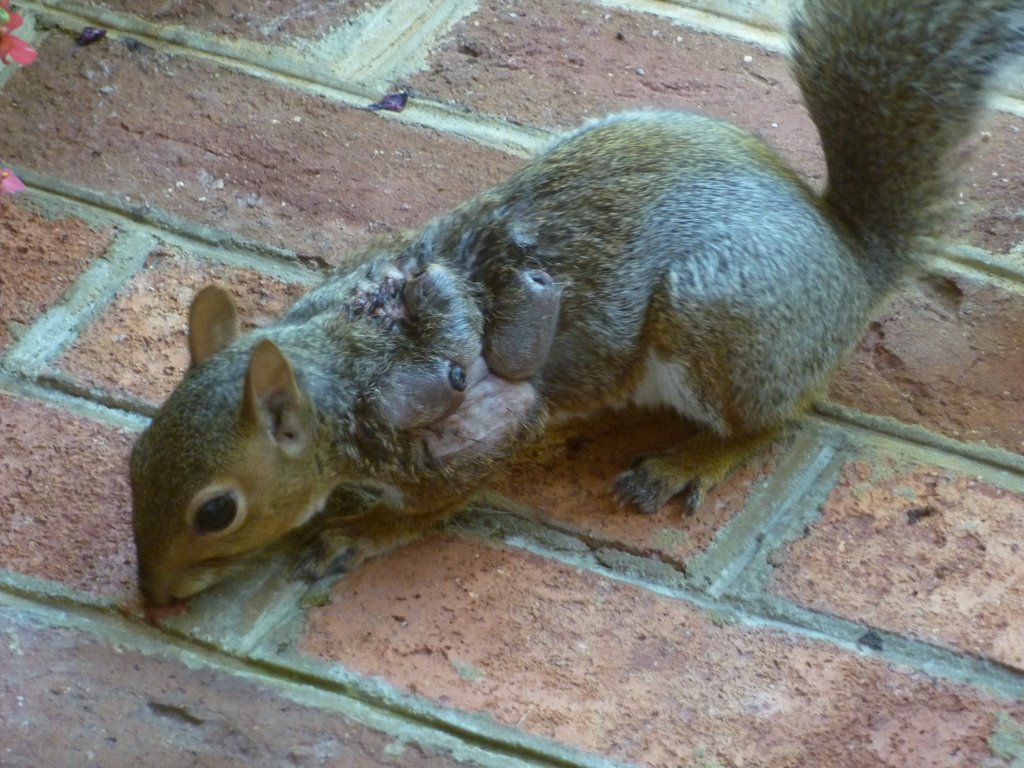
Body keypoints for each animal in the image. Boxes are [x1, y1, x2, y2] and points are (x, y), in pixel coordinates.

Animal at [130, 0, 1024, 605]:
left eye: (216, 512)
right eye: (136, 457)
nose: (153, 596)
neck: (342, 365)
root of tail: (849, 264)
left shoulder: (473, 435)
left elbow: (436, 506)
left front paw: (358, 532)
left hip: (718, 320)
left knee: (774, 420)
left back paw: (686, 461)